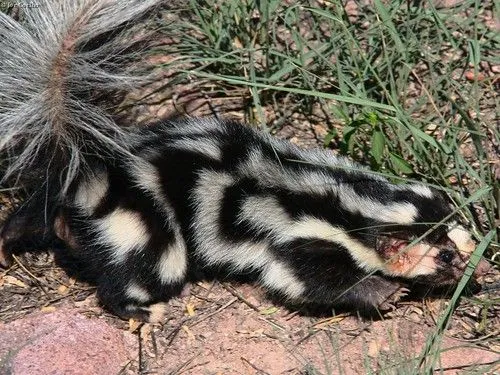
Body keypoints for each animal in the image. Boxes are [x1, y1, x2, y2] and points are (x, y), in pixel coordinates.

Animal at [0, 0, 492, 324]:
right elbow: (300, 278)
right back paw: (140, 310)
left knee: (27, 215)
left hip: (60, 198)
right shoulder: (302, 238)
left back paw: (6, 246)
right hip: (143, 220)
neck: (351, 201)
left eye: (464, 238)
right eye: (444, 256)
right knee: (142, 266)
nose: (482, 270)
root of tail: (92, 165)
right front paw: (383, 292)